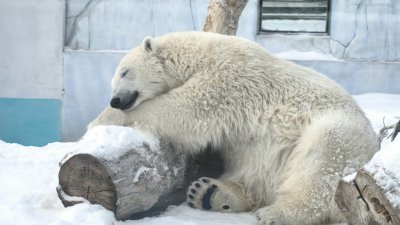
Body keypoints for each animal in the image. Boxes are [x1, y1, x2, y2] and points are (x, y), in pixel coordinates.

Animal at [89, 31, 380, 225]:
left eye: (125, 72)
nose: (115, 99)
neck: (199, 54)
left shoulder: (227, 77)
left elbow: (186, 110)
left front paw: (97, 123)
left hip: (342, 132)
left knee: (320, 160)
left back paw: (276, 213)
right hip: (267, 158)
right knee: (255, 173)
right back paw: (208, 193)